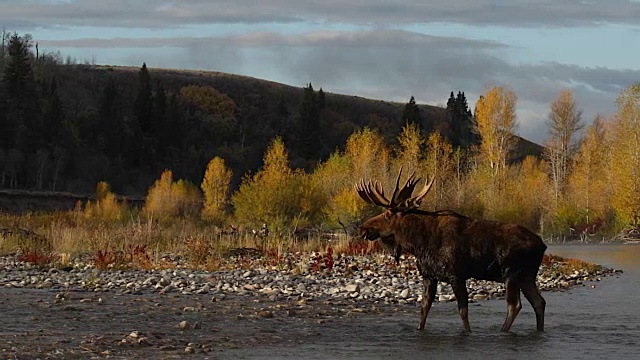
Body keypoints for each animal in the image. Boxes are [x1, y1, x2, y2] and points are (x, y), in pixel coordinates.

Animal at [356, 169, 544, 332]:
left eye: (388, 214)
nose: (363, 227)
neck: (419, 244)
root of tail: (542, 245)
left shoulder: (457, 275)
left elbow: (463, 311)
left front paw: (468, 332)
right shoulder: (429, 276)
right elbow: (424, 309)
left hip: (511, 273)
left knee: (515, 305)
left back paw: (503, 330)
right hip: (527, 276)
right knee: (539, 302)